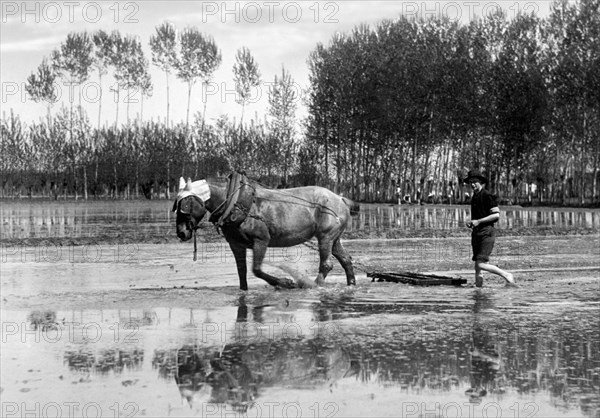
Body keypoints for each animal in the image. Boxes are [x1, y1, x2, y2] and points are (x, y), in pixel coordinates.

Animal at [171, 173, 358, 290]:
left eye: (187, 204)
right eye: (176, 205)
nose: (181, 233)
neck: (235, 202)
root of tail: (340, 198)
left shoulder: (261, 240)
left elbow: (257, 270)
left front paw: (285, 283)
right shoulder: (236, 245)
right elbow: (242, 272)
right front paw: (244, 291)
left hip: (325, 236)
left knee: (326, 264)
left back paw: (314, 286)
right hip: (334, 238)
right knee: (345, 260)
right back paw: (351, 285)